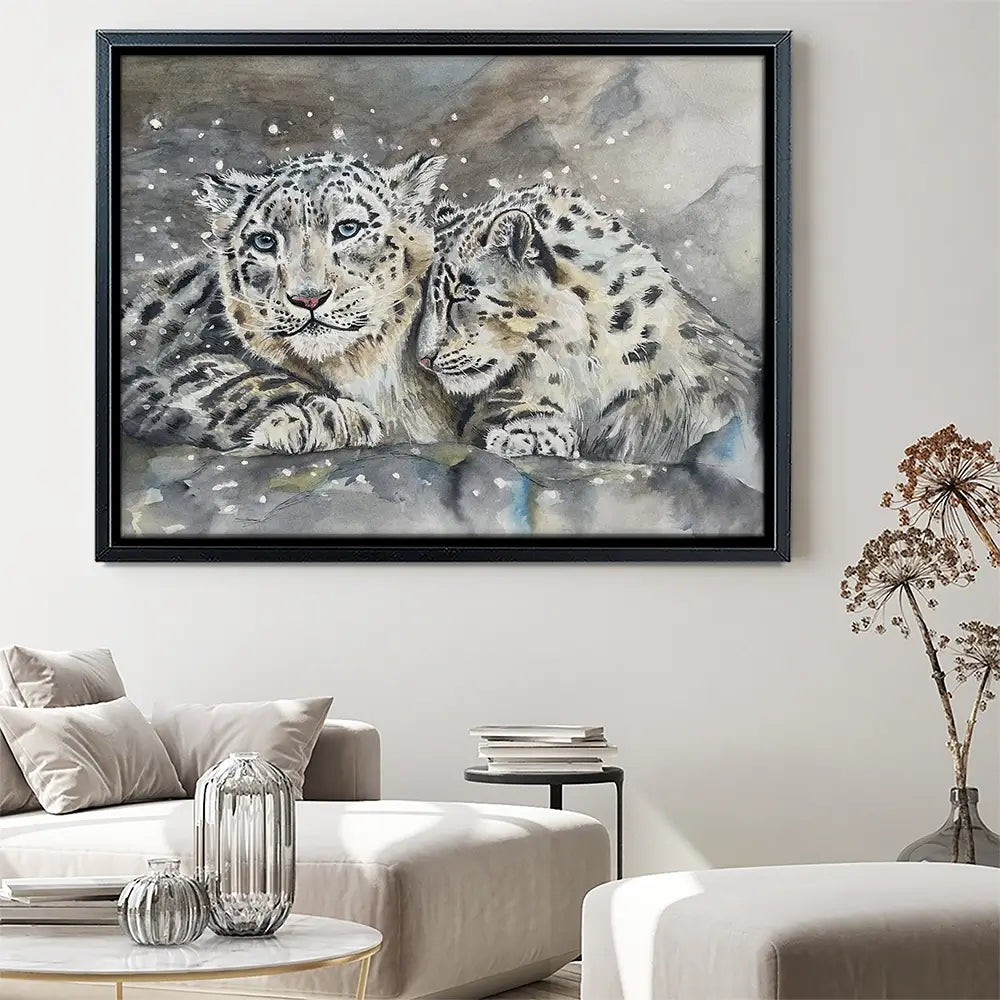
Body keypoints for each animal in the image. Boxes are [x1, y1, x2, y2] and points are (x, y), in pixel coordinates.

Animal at [121, 151, 456, 454]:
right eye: (264, 241)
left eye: (348, 228)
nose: (308, 297)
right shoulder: (158, 371)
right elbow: (231, 382)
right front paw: (328, 416)